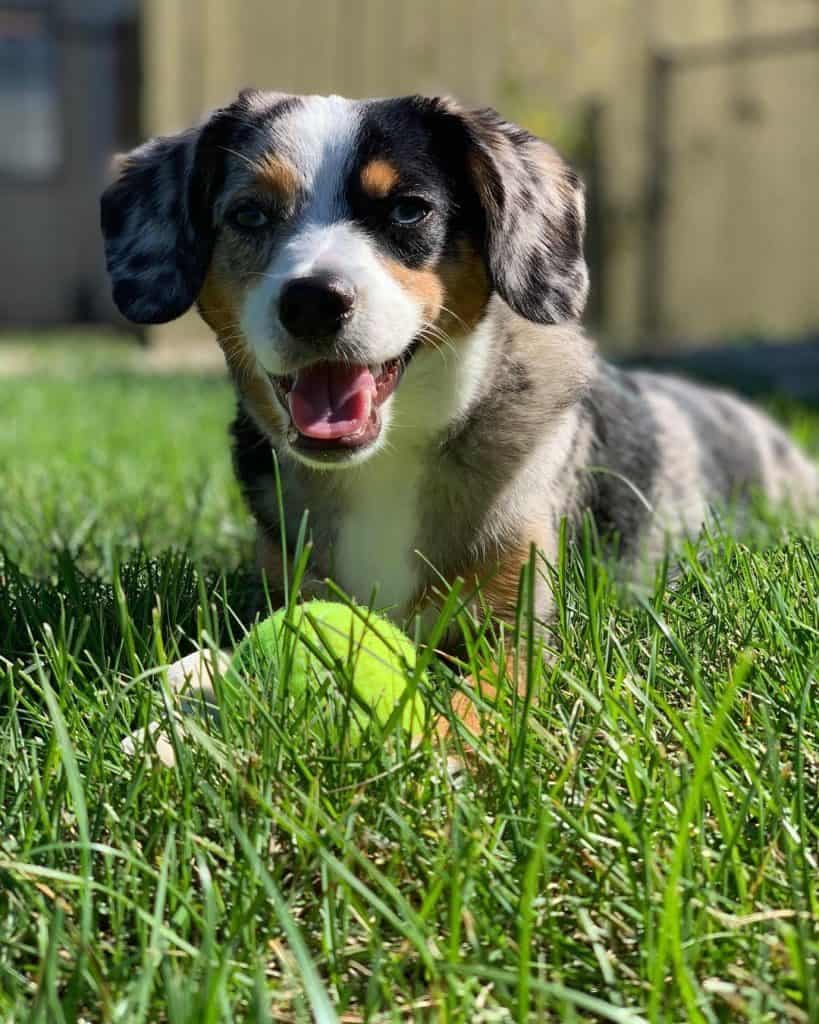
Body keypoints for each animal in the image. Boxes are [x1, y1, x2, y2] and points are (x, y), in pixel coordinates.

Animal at [99, 88, 814, 651]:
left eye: (409, 209)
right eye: (249, 213)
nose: (312, 301)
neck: (389, 458)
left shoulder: (514, 631)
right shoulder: (288, 590)